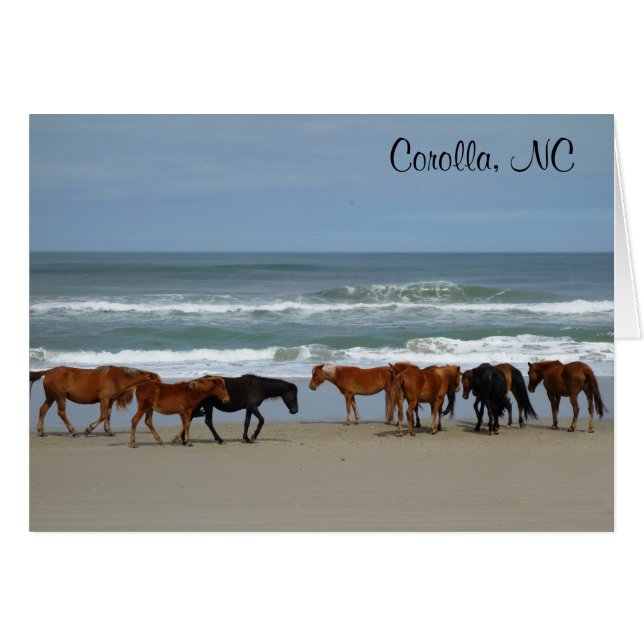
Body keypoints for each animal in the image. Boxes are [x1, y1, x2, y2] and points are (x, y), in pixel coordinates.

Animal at [29, 365, 161, 437]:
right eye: (157, 382)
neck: (117, 378)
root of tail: (47, 372)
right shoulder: (104, 399)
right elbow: (102, 416)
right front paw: (89, 429)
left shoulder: (110, 401)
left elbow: (108, 415)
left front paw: (109, 431)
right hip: (60, 397)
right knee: (61, 413)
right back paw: (73, 432)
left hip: (51, 397)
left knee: (42, 410)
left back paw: (42, 432)